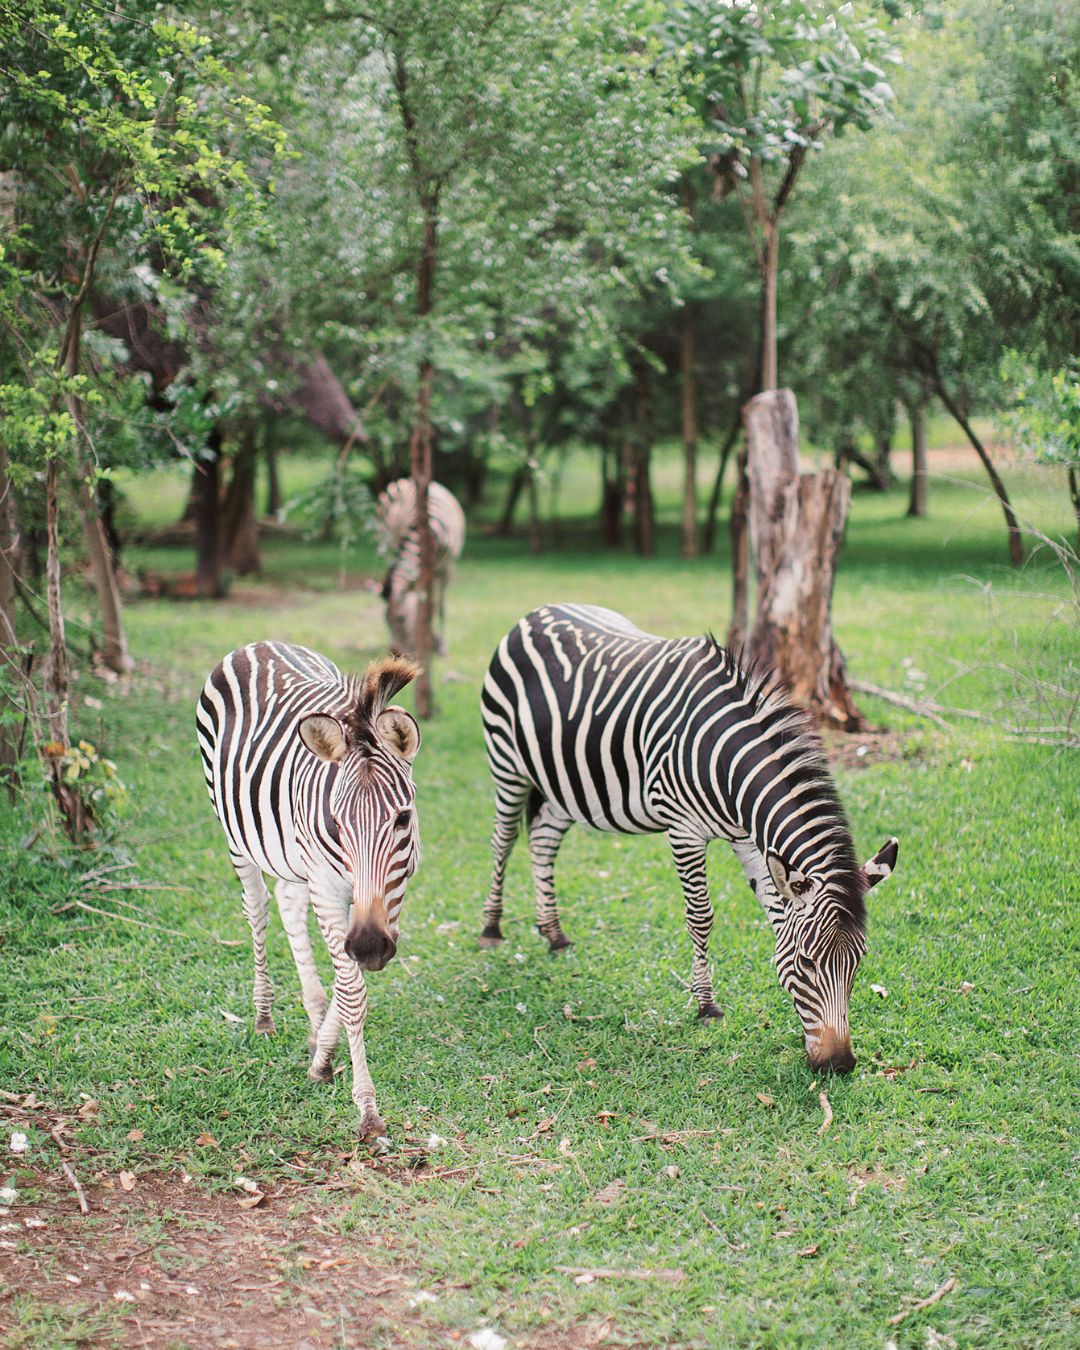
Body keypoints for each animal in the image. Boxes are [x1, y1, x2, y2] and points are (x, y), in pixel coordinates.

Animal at [197, 642, 421, 1139]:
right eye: (337, 822)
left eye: (402, 818)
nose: (370, 946)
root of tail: (259, 644)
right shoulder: (328, 885)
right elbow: (352, 990)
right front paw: (367, 1109)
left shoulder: (390, 894)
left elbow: (347, 977)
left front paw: (322, 1055)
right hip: (237, 837)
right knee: (258, 910)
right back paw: (264, 1016)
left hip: (292, 856)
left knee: (287, 903)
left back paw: (315, 1017)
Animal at [375, 480, 464, 658]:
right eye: (385, 619)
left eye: (401, 618)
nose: (394, 653)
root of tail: (407, 480)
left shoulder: (446, 567)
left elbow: (440, 608)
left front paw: (440, 646)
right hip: (388, 543)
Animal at [477, 607, 896, 1069]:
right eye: (806, 963)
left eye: (858, 961)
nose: (839, 1065)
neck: (728, 766)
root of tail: (539, 612)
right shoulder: (684, 831)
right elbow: (701, 917)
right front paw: (706, 1005)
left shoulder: (748, 839)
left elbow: (774, 911)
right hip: (506, 763)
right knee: (502, 840)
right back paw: (491, 928)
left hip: (564, 783)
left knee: (543, 838)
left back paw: (553, 933)